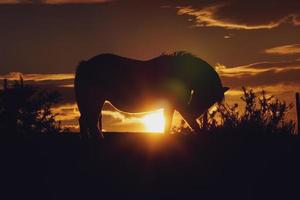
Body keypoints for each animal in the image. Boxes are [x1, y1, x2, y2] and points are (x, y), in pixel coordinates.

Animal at [74, 52, 229, 138]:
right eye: (207, 96)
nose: (195, 112)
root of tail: (85, 64)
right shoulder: (179, 106)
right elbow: (192, 124)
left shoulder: (171, 106)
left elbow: (167, 124)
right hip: (95, 100)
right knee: (90, 122)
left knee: (85, 121)